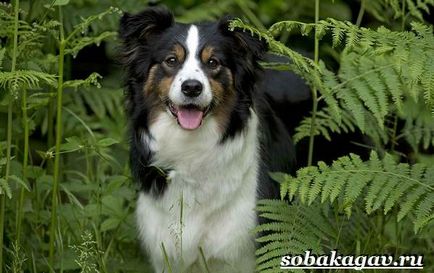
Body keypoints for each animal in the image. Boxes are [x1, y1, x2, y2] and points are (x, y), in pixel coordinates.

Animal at [118, 6, 294, 272]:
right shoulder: (165, 251)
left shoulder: (239, 252)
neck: (190, 148)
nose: (192, 88)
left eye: (213, 62)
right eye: (171, 60)